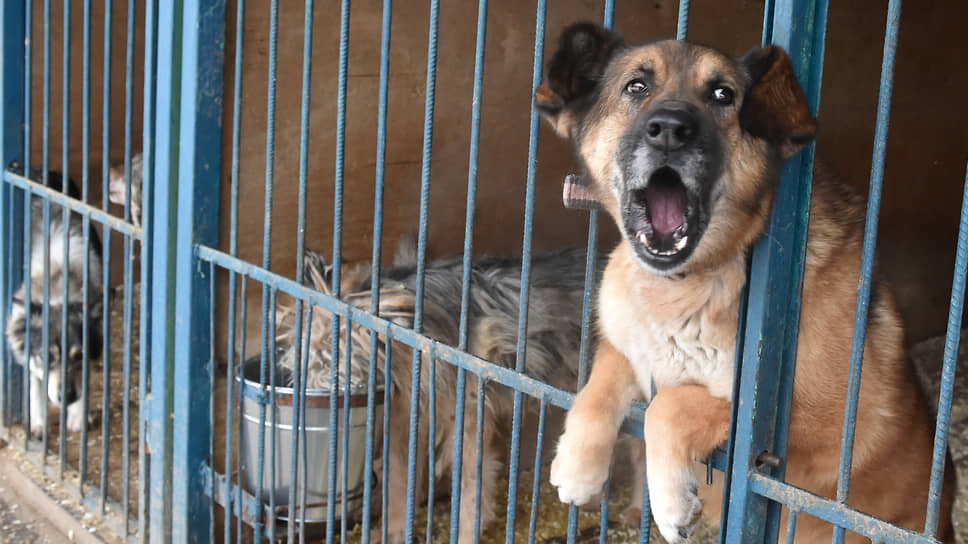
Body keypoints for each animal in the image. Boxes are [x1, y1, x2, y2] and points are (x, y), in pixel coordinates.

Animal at [5, 164, 104, 440]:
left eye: (79, 356)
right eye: (47, 356)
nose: (66, 397)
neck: (59, 277)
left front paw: (78, 416)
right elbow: (35, 387)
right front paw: (37, 425)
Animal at [276, 242, 592, 544]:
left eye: (330, 361)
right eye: (304, 359)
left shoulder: (466, 422)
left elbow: (470, 492)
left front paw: (464, 536)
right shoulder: (405, 418)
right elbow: (399, 480)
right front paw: (392, 531)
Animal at [536, 22, 952, 544]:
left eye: (723, 95)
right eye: (636, 87)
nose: (669, 130)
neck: (686, 284)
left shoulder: (809, 435)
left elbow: (669, 407)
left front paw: (671, 500)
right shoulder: (627, 349)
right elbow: (595, 387)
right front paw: (576, 467)